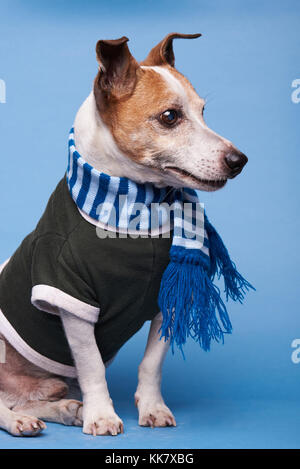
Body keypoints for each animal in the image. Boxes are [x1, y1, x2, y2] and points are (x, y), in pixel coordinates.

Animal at [0, 33, 248, 436]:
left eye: (203, 111)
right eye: (170, 116)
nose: (239, 161)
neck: (136, 209)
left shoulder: (166, 298)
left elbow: (151, 364)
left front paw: (152, 408)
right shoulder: (72, 299)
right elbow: (92, 368)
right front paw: (102, 415)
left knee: (23, 398)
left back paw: (64, 410)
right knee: (2, 405)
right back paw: (22, 420)